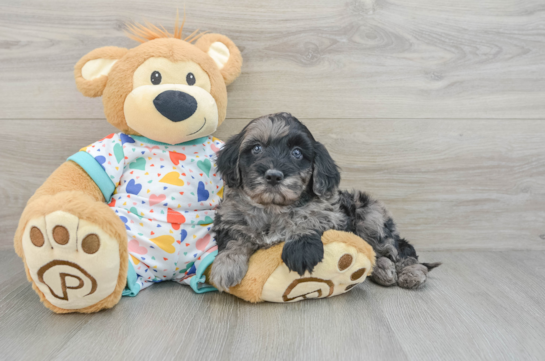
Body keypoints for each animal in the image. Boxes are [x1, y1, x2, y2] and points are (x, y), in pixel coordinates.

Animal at [210, 113, 440, 292]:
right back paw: (382, 269)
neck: (273, 208)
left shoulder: (333, 214)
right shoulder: (229, 219)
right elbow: (235, 239)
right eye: (256, 148)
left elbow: (311, 217)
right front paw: (226, 266)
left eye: (297, 153)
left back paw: (410, 273)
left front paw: (301, 249)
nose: (274, 176)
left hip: (371, 216)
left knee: (401, 251)